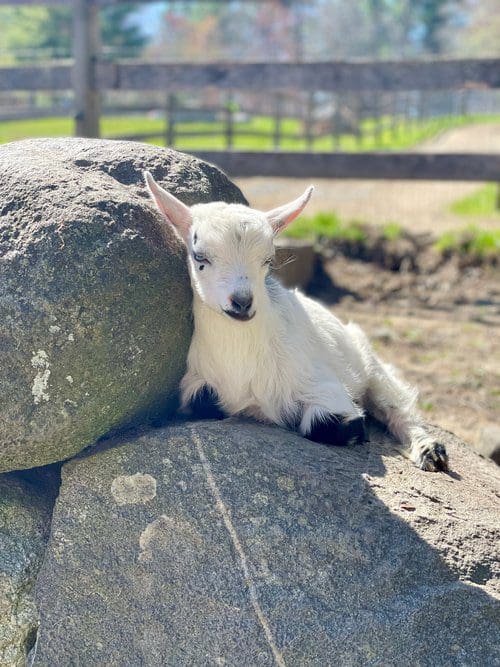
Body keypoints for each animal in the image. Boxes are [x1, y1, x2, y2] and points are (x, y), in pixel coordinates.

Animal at [145, 172, 448, 472]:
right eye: (200, 257)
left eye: (267, 260)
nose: (242, 302)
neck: (241, 365)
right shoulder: (196, 383)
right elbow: (204, 403)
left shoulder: (324, 386)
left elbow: (329, 424)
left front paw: (356, 430)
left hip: (369, 362)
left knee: (397, 405)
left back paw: (430, 451)